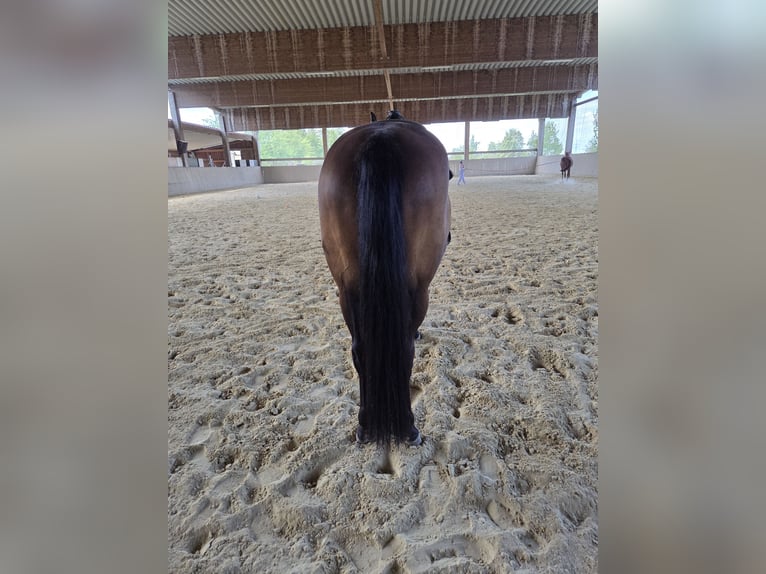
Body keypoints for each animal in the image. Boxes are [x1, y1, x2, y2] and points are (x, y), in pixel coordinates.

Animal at [318, 113, 452, 446]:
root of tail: (381, 138)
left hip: (348, 289)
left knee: (360, 349)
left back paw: (365, 426)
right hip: (418, 289)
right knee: (404, 349)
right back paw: (408, 429)